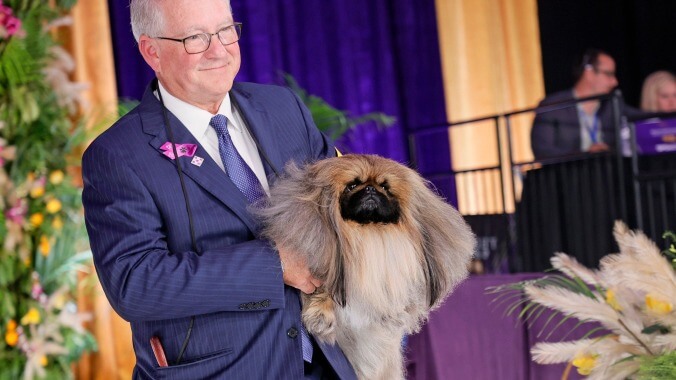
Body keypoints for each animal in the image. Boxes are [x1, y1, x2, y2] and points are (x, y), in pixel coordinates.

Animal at [255, 153, 476, 378]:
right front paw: (320, 314)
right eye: (352, 185)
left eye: (385, 187)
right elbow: (322, 284)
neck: (368, 231)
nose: (370, 189)